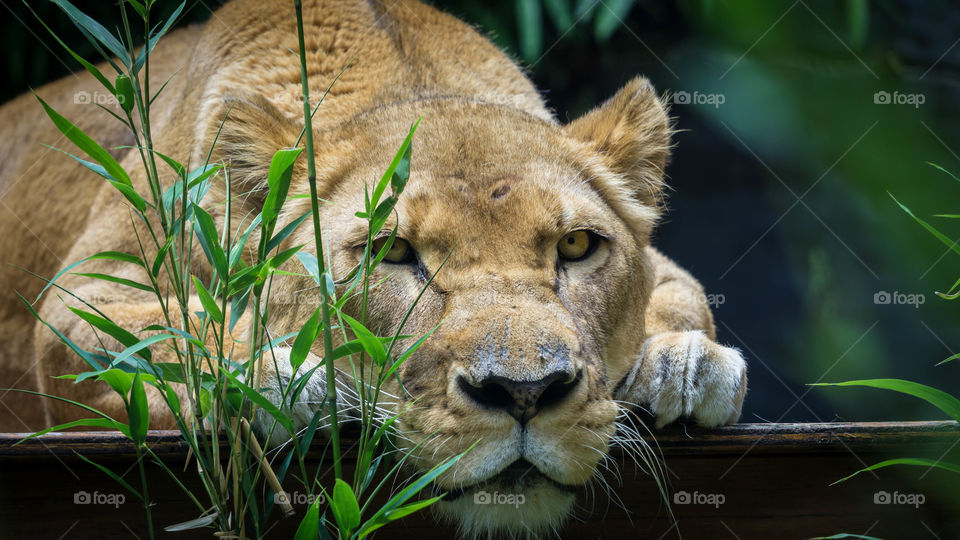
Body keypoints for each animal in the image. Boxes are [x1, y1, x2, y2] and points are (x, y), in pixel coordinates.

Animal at [0, 0, 747, 536]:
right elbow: (181, 339)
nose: (525, 395)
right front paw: (280, 377)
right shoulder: (79, 301)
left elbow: (685, 291)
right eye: (393, 253)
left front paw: (685, 362)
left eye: (575, 248)